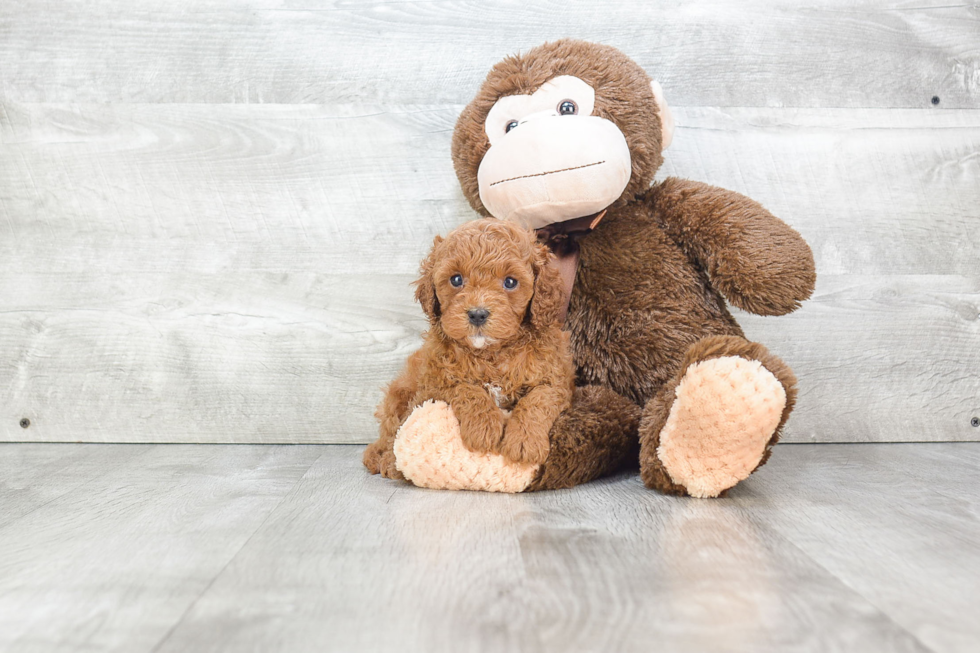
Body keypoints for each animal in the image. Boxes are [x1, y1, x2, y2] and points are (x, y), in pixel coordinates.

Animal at [364, 219, 572, 478]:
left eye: (510, 282)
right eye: (456, 279)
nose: (478, 314)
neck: (491, 353)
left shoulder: (555, 380)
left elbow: (538, 400)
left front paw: (524, 442)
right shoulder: (433, 384)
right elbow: (465, 388)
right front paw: (484, 428)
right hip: (399, 393)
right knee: (390, 430)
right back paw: (381, 458)